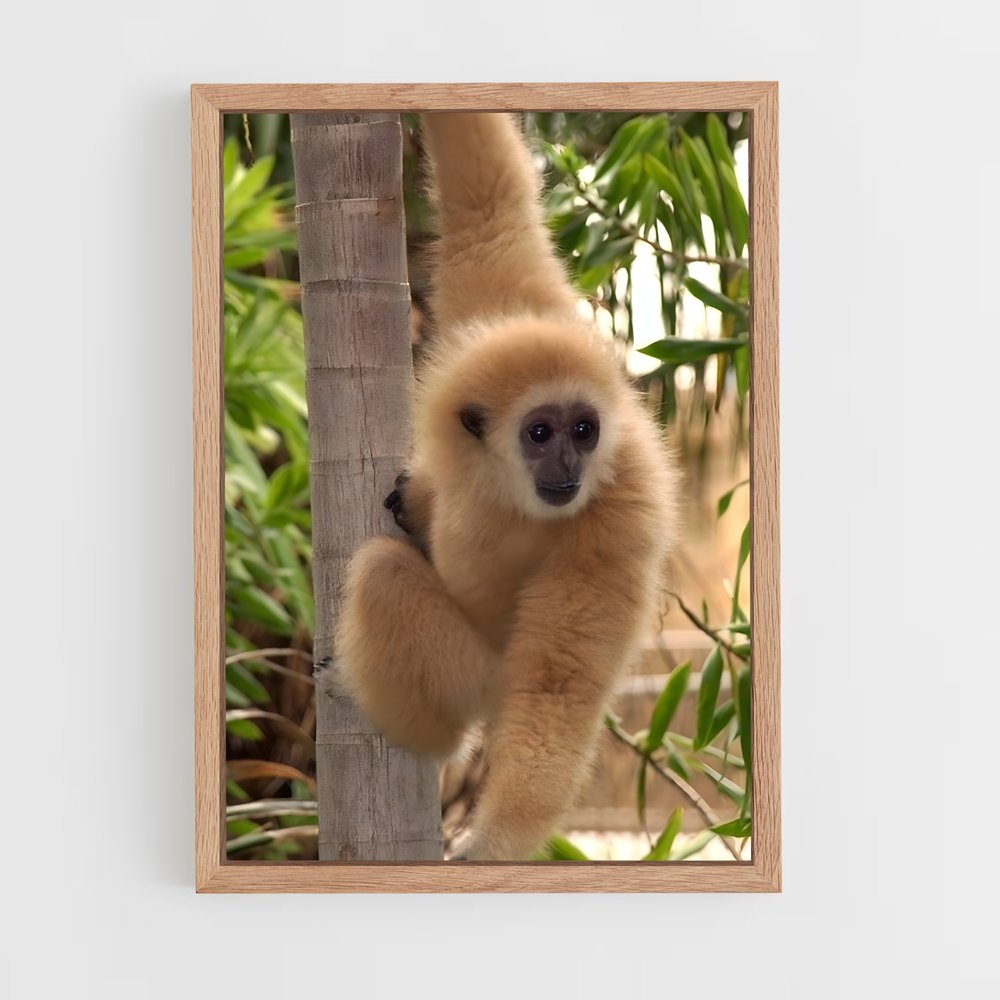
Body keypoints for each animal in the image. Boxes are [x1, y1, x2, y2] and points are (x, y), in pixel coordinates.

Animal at [333, 113, 679, 861]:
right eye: (542, 432)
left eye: (585, 430)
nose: (570, 466)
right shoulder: (511, 309)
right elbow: (489, 203)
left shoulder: (620, 514)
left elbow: (557, 687)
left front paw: (495, 842)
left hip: (482, 681)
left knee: (380, 574)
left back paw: (424, 736)